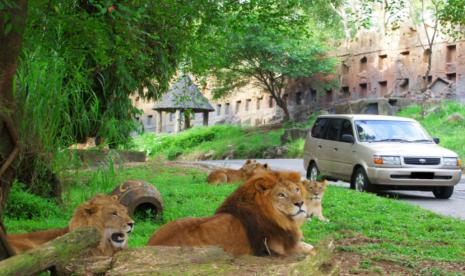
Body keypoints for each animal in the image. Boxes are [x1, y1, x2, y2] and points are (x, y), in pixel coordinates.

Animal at [148, 170, 312, 256]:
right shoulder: (279, 249)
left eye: (297, 189)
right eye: (281, 195)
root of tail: (150, 244)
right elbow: (310, 249)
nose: (300, 203)